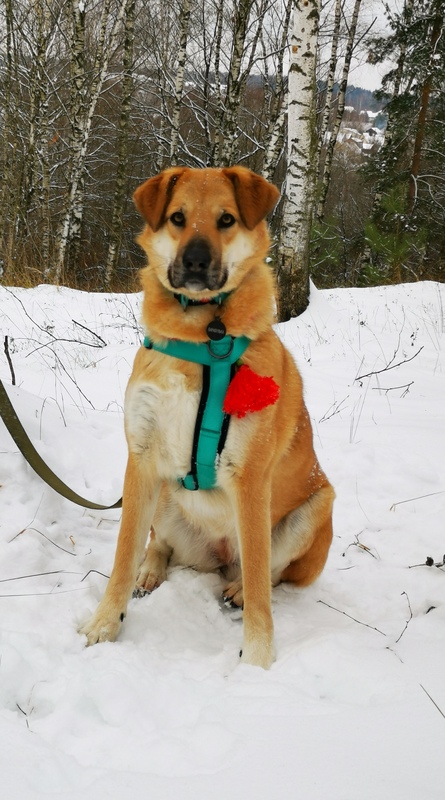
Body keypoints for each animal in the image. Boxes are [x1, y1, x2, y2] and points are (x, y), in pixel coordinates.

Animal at [80, 166, 334, 669]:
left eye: (226, 219)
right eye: (178, 217)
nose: (196, 262)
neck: (202, 336)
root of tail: (217, 555)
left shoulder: (250, 478)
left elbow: (261, 583)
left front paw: (257, 661)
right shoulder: (141, 460)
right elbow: (122, 555)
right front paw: (105, 622)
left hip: (318, 506)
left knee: (267, 573)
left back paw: (238, 588)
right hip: (164, 494)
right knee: (158, 544)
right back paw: (150, 570)